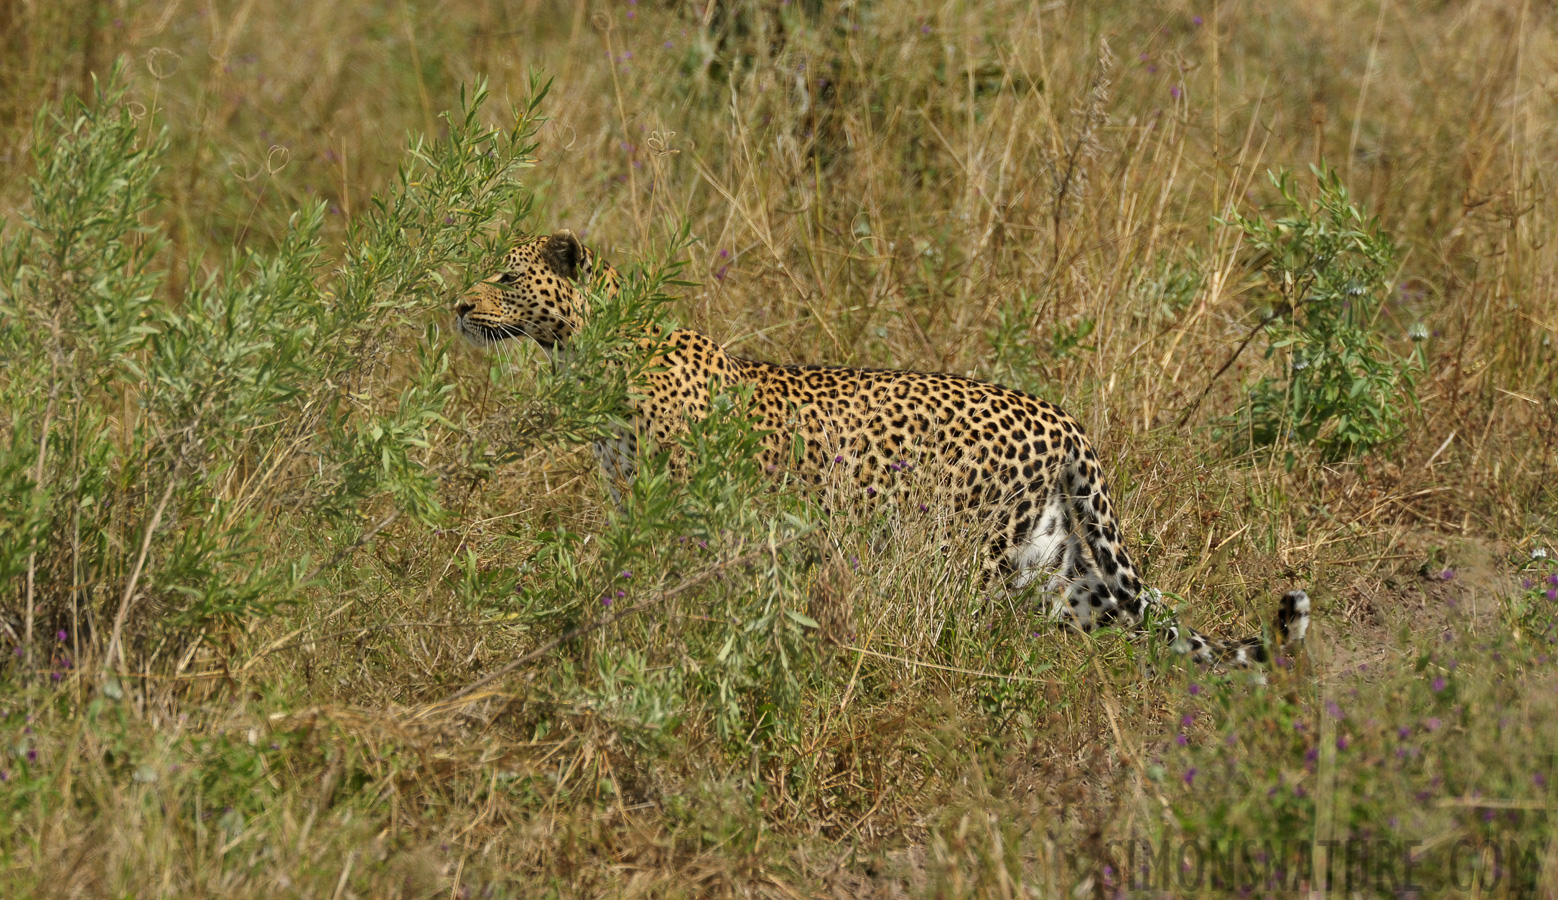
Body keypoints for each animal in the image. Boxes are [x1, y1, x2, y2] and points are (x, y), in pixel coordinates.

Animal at [454, 228, 1308, 666]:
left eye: (508, 276)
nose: (458, 303)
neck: (588, 353)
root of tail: (1062, 418)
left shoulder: (694, 508)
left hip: (966, 553)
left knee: (966, 627)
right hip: (1057, 566)